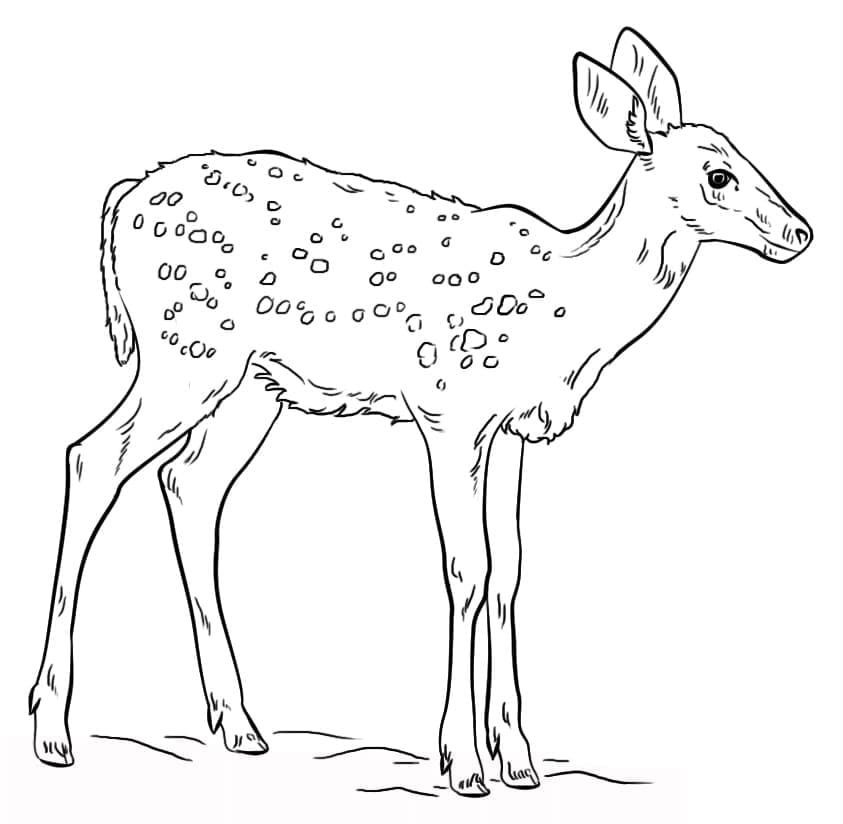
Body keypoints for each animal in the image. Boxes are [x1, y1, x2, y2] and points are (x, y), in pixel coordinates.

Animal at [29, 27, 811, 796]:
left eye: (745, 155)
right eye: (718, 175)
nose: (800, 232)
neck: (567, 310)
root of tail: (121, 200)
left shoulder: (511, 431)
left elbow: (509, 570)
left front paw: (517, 758)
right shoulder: (448, 408)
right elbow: (466, 567)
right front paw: (462, 762)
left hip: (249, 384)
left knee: (189, 483)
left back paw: (238, 724)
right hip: (184, 354)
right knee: (92, 457)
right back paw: (52, 730)